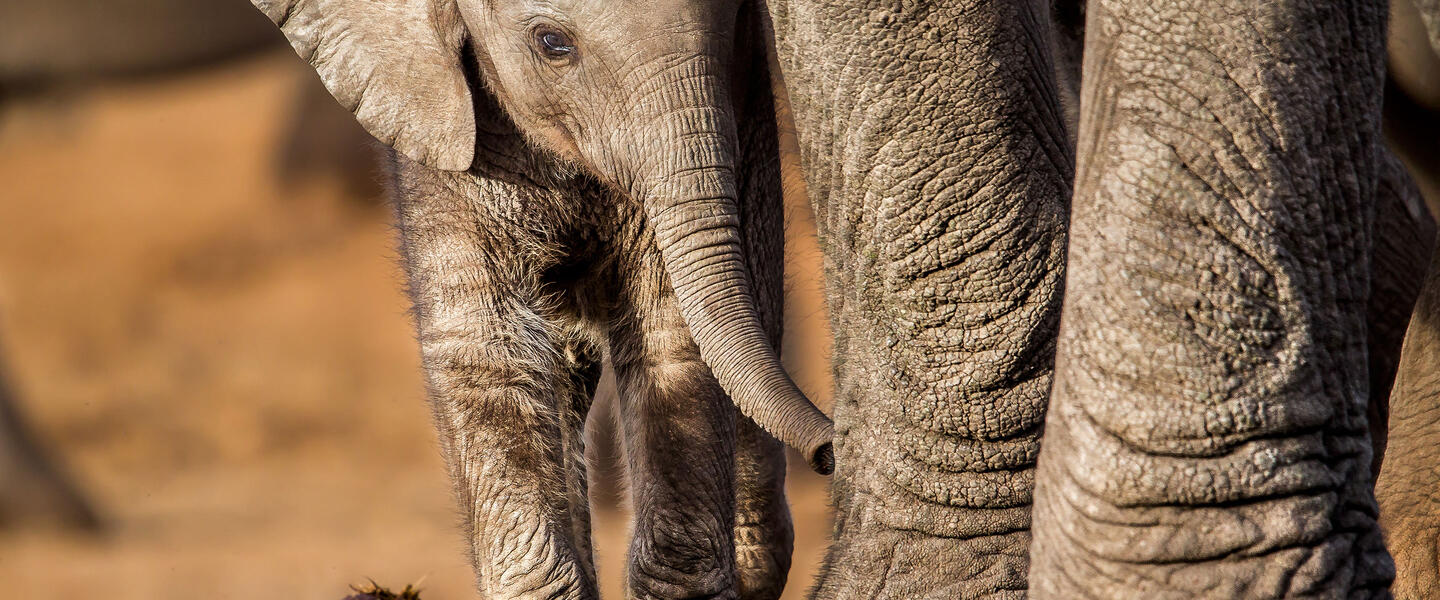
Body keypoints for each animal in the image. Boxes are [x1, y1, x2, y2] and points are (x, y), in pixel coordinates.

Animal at [250, 0, 835, 592]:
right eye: (553, 44)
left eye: (736, 19)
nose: (831, 449)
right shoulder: (436, 129)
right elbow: (488, 356)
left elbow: (670, 345)